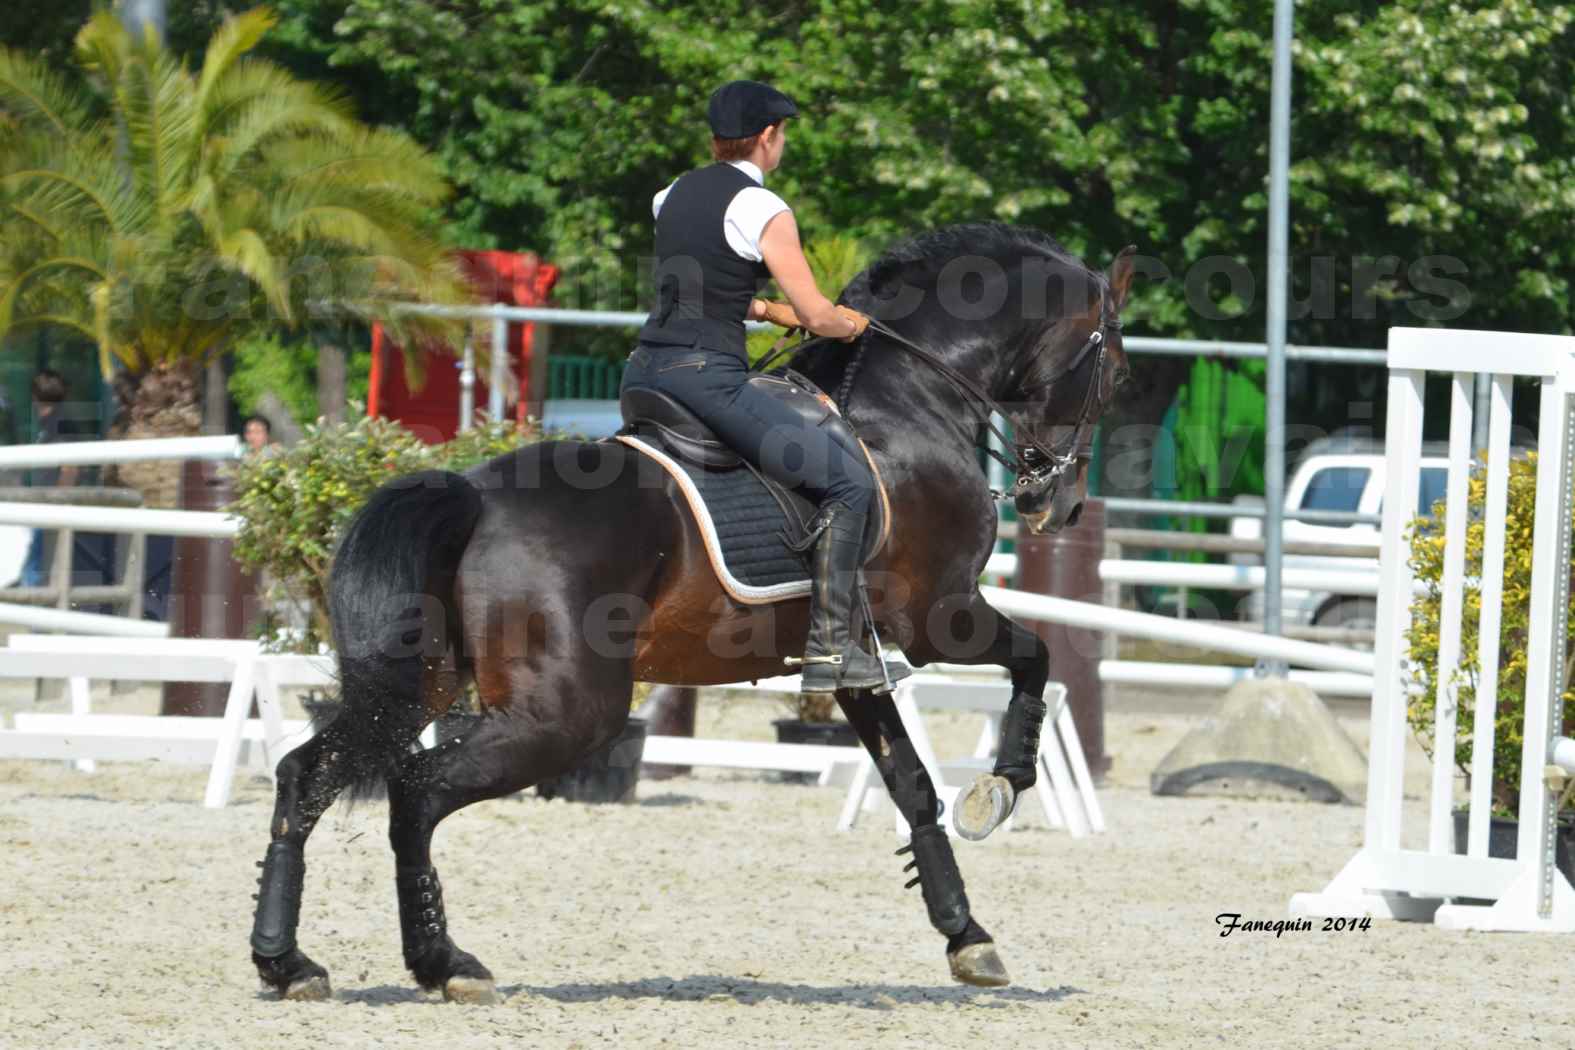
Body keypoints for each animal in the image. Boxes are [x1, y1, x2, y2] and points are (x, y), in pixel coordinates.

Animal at [248, 221, 1134, 1001]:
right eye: (1117, 371)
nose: (1057, 504)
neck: (907, 402)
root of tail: (472, 495)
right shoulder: (938, 616)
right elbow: (1035, 660)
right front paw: (1003, 786)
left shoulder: (854, 658)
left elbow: (912, 786)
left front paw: (966, 938)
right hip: (566, 713)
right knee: (416, 792)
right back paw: (444, 964)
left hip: (424, 686)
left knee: (305, 776)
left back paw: (287, 963)